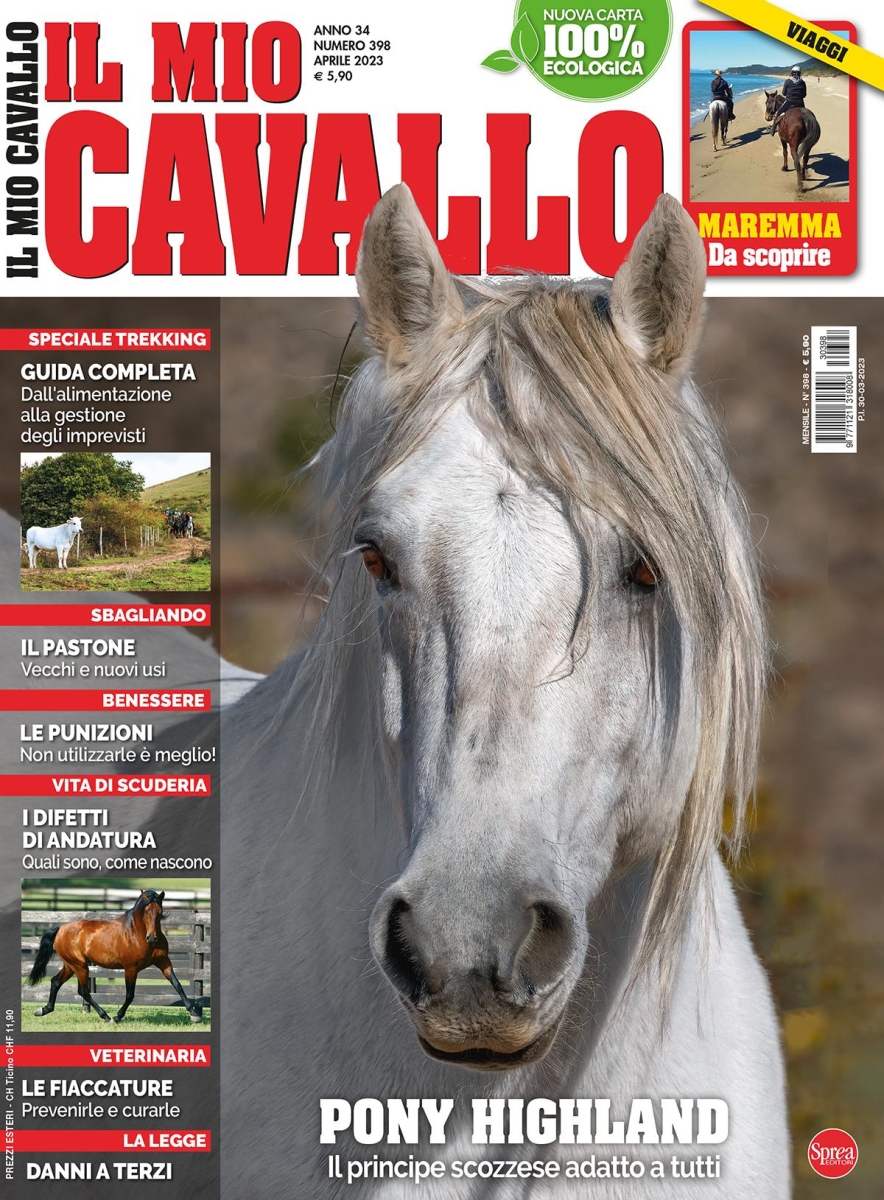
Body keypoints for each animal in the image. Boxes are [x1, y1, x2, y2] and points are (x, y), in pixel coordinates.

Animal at [27, 889, 202, 1024]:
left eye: (159, 912)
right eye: (146, 911)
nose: (152, 937)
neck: (137, 934)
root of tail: (61, 928)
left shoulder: (163, 961)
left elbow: (177, 984)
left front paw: (194, 1015)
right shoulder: (130, 968)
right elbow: (130, 995)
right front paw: (118, 1017)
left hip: (71, 965)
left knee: (56, 982)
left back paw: (43, 1010)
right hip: (80, 966)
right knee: (83, 991)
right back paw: (106, 1017)